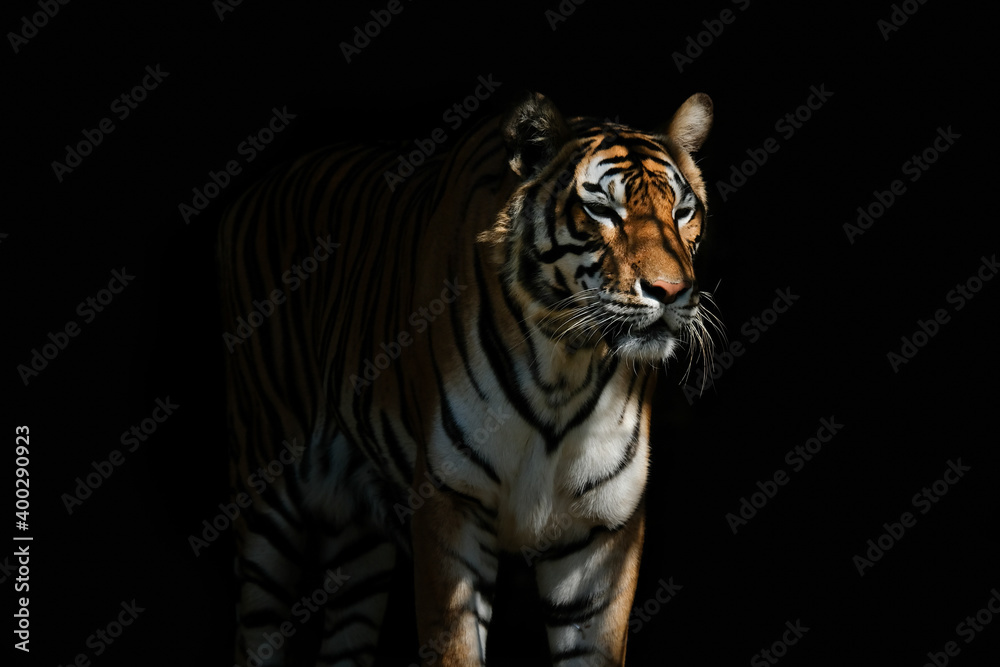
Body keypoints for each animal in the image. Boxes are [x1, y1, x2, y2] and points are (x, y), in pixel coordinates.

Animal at [217, 89, 715, 666]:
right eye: (602, 210)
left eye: (682, 211)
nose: (670, 291)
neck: (565, 371)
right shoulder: (451, 502)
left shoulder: (604, 532)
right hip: (266, 502)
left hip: (359, 544)